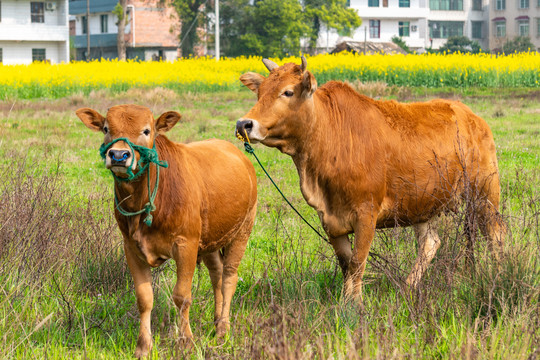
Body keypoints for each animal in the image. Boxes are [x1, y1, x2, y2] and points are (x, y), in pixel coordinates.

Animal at [76, 104, 260, 358]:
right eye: (106, 128)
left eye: (146, 130)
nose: (119, 155)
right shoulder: (131, 248)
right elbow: (144, 298)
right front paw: (143, 346)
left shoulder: (186, 245)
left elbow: (182, 296)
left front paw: (186, 342)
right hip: (211, 240)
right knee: (217, 275)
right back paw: (216, 321)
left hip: (242, 231)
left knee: (229, 278)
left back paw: (223, 330)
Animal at [236, 57, 506, 302]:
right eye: (259, 92)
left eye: (288, 92)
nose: (244, 124)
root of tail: (470, 115)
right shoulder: (330, 219)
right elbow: (347, 264)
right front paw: (347, 300)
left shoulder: (366, 214)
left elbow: (358, 262)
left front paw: (353, 305)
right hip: (422, 203)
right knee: (430, 243)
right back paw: (407, 288)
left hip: (484, 194)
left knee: (495, 235)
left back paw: (499, 275)